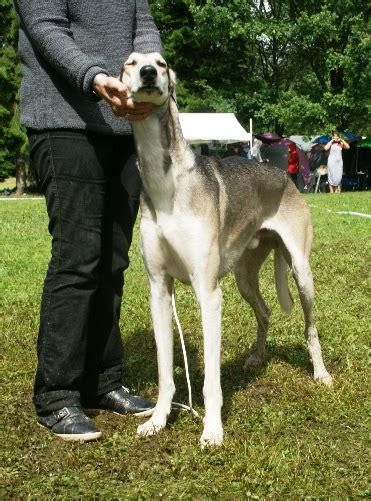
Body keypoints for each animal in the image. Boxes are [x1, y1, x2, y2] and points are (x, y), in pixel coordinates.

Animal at [120, 53, 332, 446]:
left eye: (162, 62)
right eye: (130, 62)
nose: (149, 73)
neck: (168, 182)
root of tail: (284, 177)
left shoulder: (208, 292)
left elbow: (212, 383)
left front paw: (212, 430)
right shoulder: (159, 290)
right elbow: (165, 372)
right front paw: (157, 420)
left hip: (300, 271)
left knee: (310, 329)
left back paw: (321, 373)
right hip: (244, 275)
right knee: (264, 311)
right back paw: (257, 358)